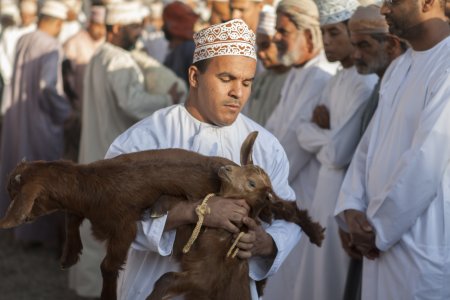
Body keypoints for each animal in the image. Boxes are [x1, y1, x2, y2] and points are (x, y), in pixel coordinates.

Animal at [0, 132, 324, 300]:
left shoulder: (123, 225)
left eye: (16, 194)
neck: (94, 184)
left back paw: (316, 233)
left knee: (286, 206)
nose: (10, 219)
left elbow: (108, 266)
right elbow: (71, 218)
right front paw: (69, 255)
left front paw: (107, 294)